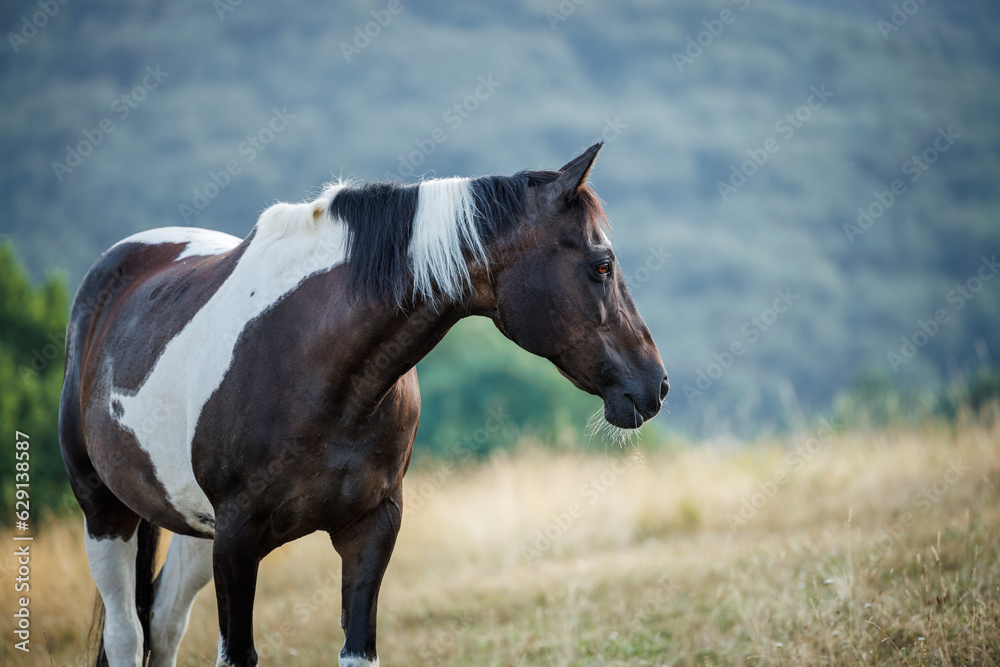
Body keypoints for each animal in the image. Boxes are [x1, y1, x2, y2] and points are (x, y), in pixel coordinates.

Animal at [58, 142, 669, 667]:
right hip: (104, 513)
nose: (655, 384)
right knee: (126, 635)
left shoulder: (371, 528)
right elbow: (237, 655)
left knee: (162, 626)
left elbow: (358, 650)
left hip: (189, 527)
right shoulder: (236, 540)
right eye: (602, 265)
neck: (313, 364)